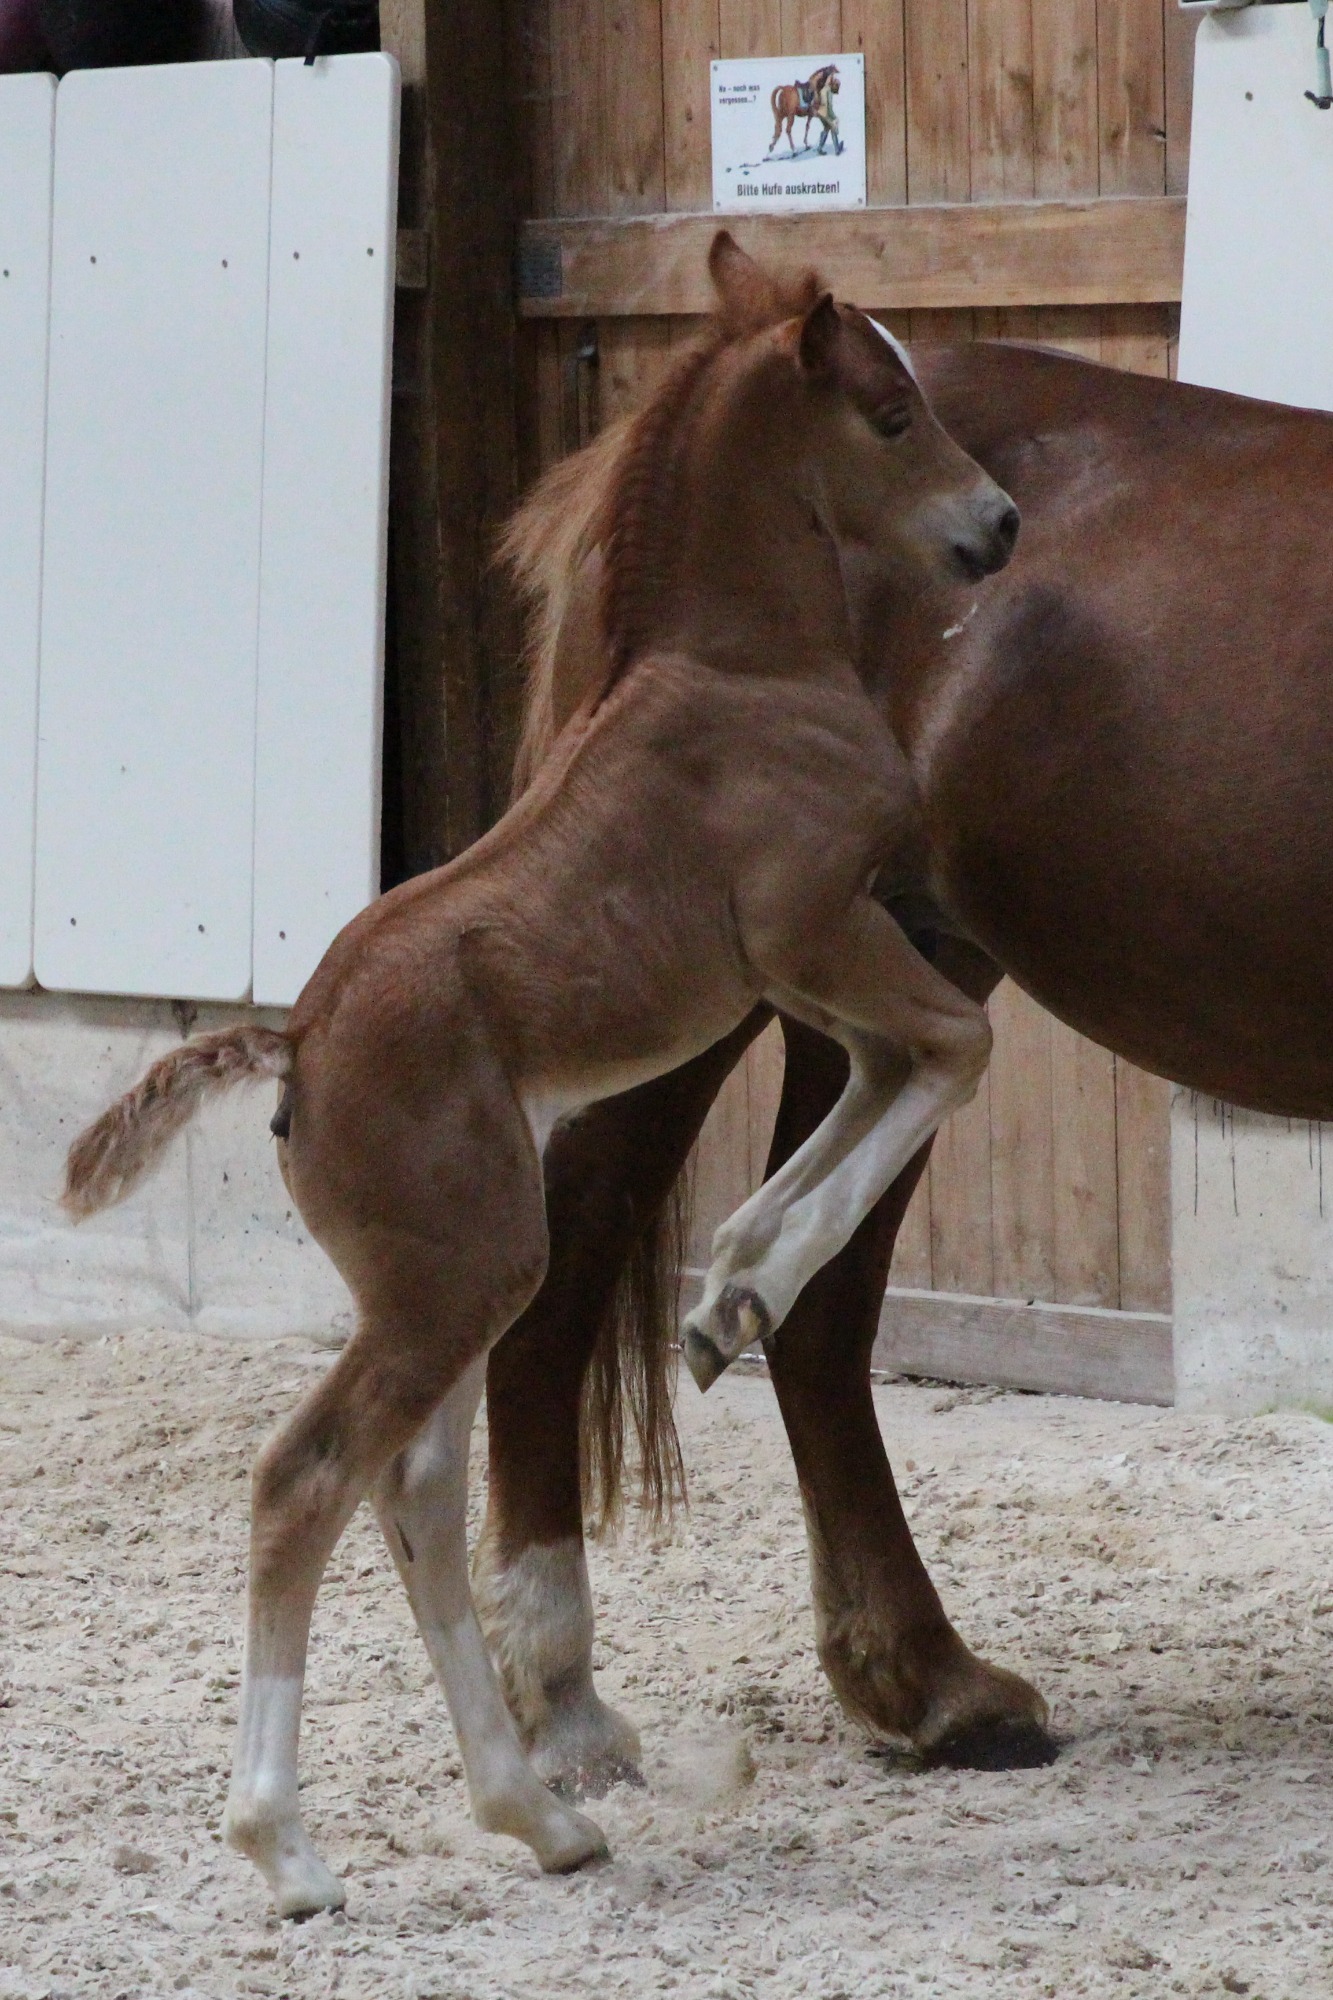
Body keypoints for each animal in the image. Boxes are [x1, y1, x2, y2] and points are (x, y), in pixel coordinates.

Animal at [61, 235, 1019, 1918]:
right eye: (894, 412)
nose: (1000, 526)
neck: (735, 669)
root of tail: (297, 1044)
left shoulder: (800, 978)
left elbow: (888, 1076)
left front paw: (730, 1283)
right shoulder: (815, 931)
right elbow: (951, 1055)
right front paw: (741, 1290)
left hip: (453, 1277)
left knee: (417, 1500)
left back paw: (538, 1814)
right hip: (466, 1269)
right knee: (307, 1480)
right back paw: (288, 1848)